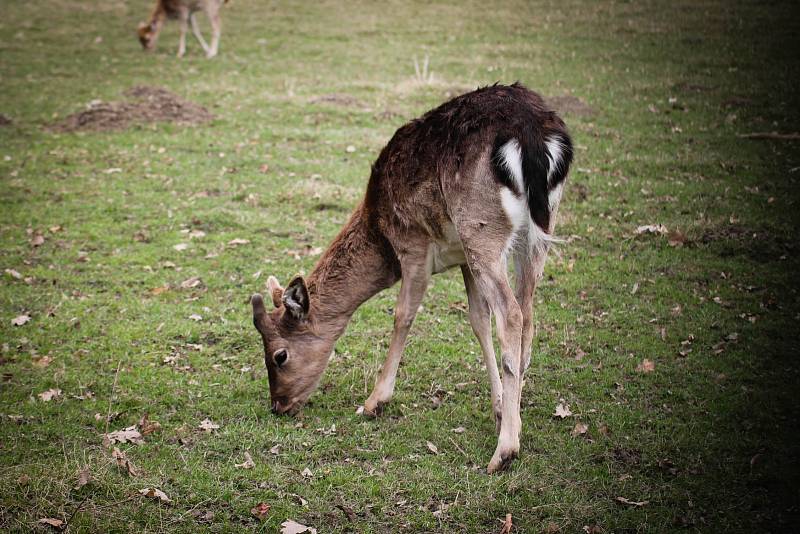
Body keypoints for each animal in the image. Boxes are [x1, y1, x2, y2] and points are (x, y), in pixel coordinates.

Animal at [253, 84, 572, 474]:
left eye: (279, 356)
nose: (278, 405)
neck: (380, 235)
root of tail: (532, 134)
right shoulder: (462, 256)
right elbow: (478, 321)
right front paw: (499, 407)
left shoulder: (413, 244)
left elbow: (403, 314)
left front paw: (374, 402)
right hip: (536, 232)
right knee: (527, 315)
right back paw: (515, 425)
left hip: (481, 227)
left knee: (511, 313)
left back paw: (504, 452)